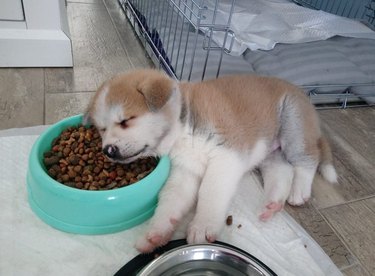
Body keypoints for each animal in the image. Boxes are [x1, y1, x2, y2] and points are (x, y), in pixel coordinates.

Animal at [84, 68, 338, 252]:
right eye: (102, 129)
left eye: (125, 121)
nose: (108, 150)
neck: (183, 128)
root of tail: (303, 94)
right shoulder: (186, 171)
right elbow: (170, 200)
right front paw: (155, 233)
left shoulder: (226, 158)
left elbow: (209, 192)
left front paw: (203, 226)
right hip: (270, 150)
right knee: (282, 171)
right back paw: (272, 203)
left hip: (292, 125)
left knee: (307, 159)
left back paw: (299, 191)